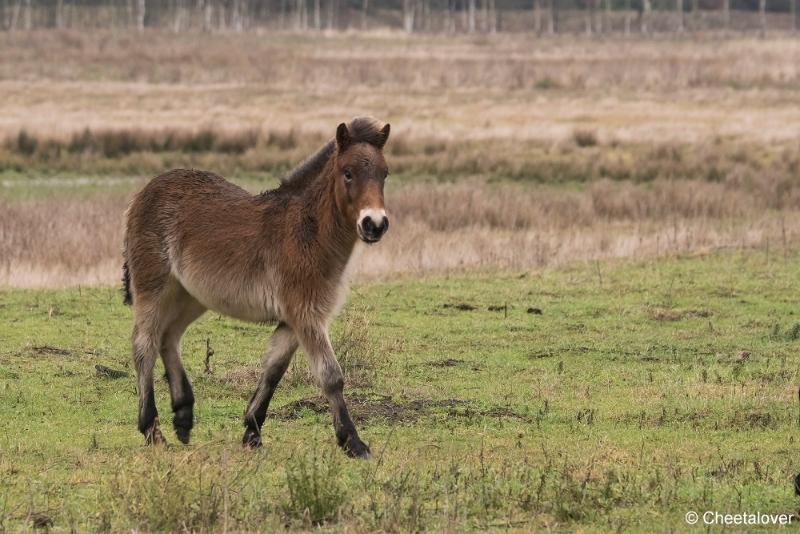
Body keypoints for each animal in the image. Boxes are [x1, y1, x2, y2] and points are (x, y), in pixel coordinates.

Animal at [121, 117, 390, 460]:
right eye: (348, 172)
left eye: (384, 173)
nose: (374, 224)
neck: (306, 231)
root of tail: (142, 194)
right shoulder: (306, 314)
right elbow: (331, 375)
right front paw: (353, 442)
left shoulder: (295, 318)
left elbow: (274, 368)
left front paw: (252, 430)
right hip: (154, 289)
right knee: (144, 344)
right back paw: (152, 431)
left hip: (191, 295)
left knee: (169, 338)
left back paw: (183, 416)